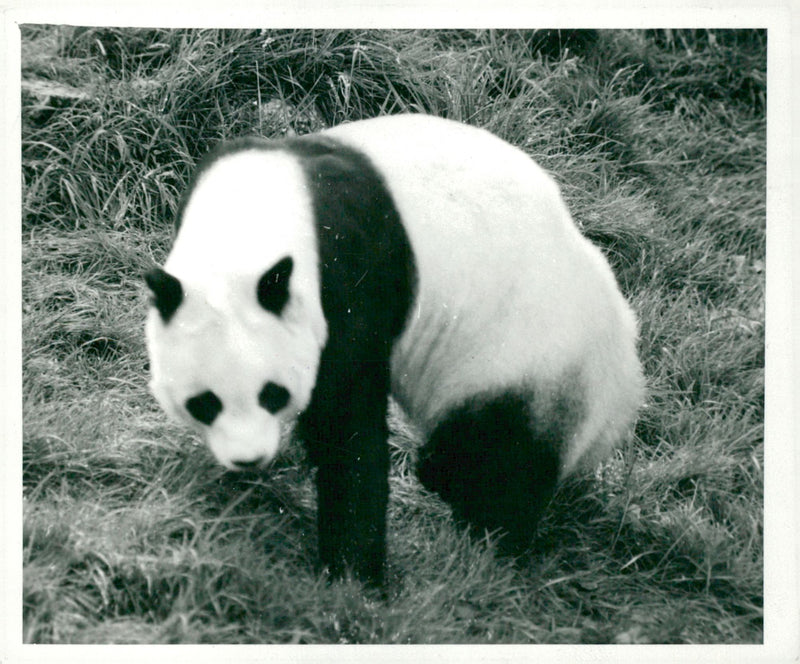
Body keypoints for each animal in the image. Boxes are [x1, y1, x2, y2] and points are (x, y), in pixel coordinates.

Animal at [142, 114, 644, 588]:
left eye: (272, 393)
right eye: (204, 403)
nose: (248, 460)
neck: (249, 221)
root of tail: (628, 386)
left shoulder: (348, 276)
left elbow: (347, 423)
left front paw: (353, 574)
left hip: (530, 362)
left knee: (500, 461)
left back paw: (484, 533)